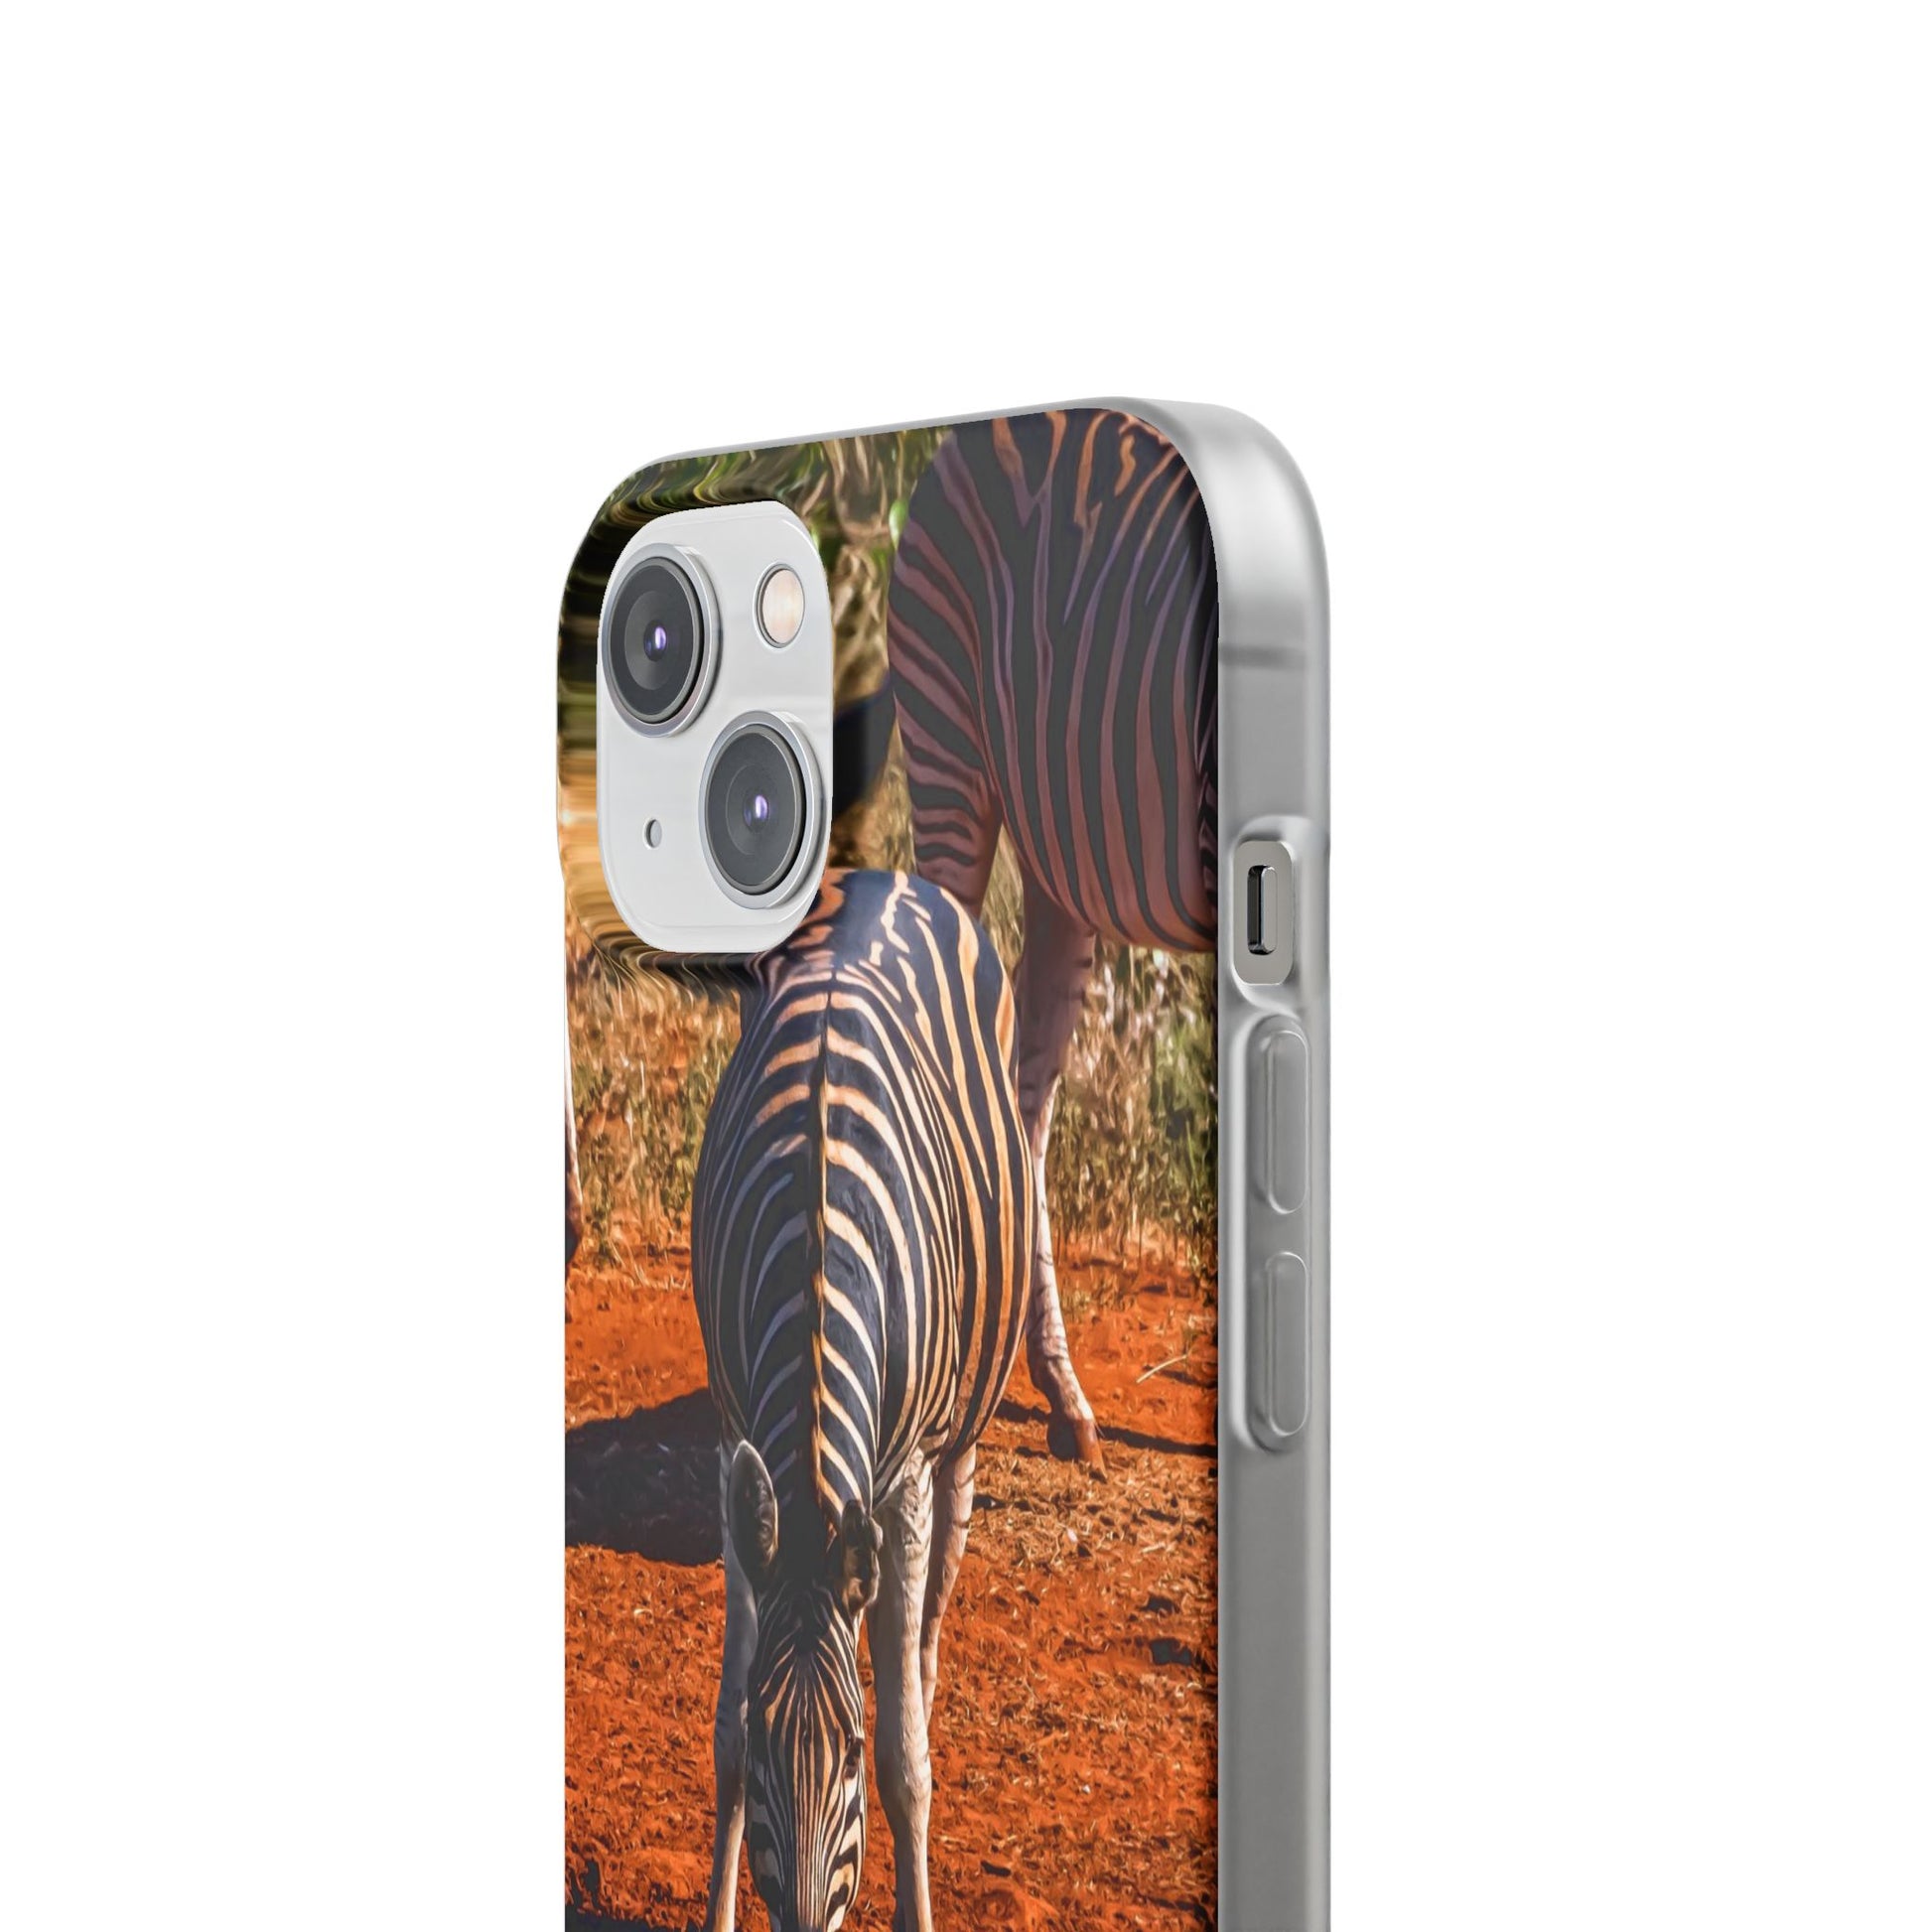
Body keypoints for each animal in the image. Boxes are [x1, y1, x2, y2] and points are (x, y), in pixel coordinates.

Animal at [692, 867, 1033, 1932]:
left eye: (840, 1749)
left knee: (924, 1630)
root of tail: (889, 875)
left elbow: (905, 1760)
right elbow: (720, 1735)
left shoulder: (906, 1477)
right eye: (773, 1741)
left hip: (957, 1445)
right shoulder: (734, 1443)